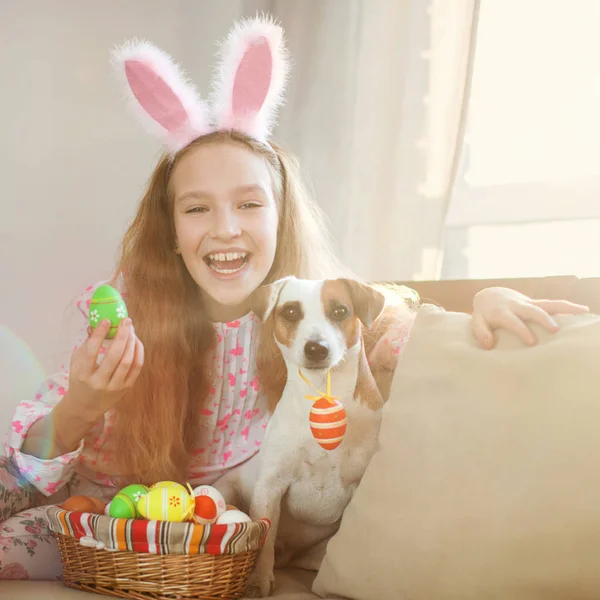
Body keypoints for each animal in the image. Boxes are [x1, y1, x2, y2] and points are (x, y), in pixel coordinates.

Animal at [214, 276, 384, 596]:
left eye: (341, 311)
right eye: (291, 312)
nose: (317, 348)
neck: (322, 398)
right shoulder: (270, 487)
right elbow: (265, 538)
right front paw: (258, 581)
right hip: (226, 489)